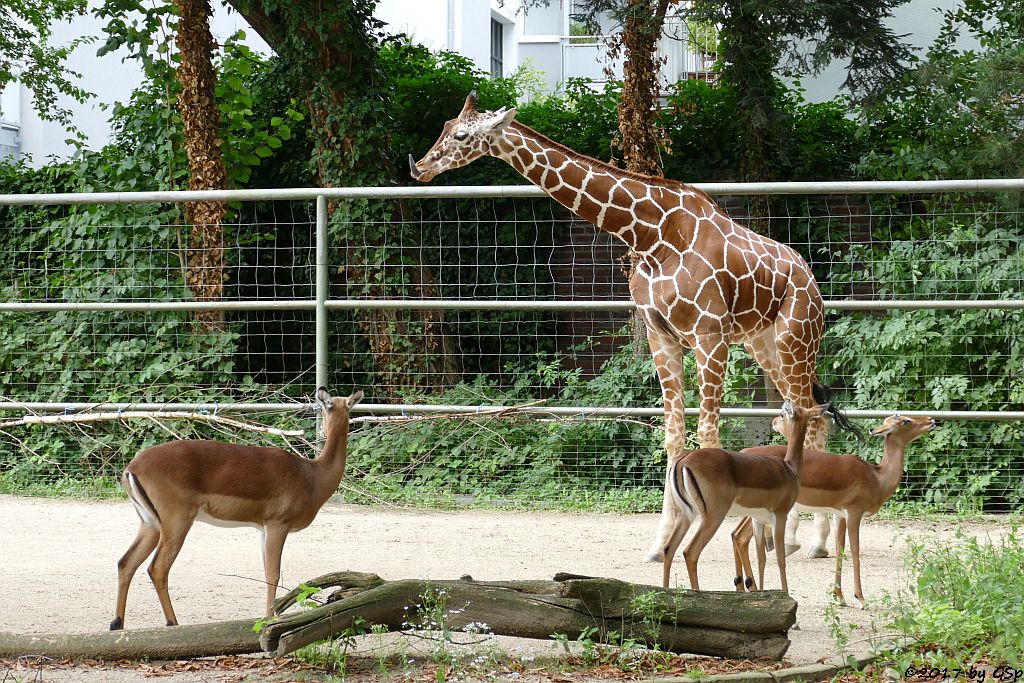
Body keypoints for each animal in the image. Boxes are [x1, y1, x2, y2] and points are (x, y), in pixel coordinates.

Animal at [109, 387, 360, 634]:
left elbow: (267, 571)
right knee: (157, 568)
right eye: (326, 407)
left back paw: (116, 624)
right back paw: (173, 624)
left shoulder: (262, 529)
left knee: (125, 562)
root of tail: (132, 467)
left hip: (150, 524)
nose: (322, 430)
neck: (312, 475)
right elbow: (273, 574)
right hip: (176, 523)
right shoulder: (277, 525)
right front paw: (269, 620)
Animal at [411, 92, 835, 548]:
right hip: (763, 345)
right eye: (445, 125)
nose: (419, 167)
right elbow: (672, 435)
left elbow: (707, 434)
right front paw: (665, 534)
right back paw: (795, 536)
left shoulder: (708, 334)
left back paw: (812, 538)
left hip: (795, 338)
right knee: (806, 415)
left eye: (461, 135)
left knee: (809, 415)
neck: (650, 235)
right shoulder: (661, 335)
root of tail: (811, 279)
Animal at [643, 403, 827, 589]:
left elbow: (761, 559)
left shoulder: (758, 519)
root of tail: (683, 460)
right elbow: (780, 560)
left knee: (669, 548)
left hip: (686, 514)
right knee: (690, 552)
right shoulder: (780, 516)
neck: (790, 469)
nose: (774, 422)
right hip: (713, 516)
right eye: (783, 415)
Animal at [729, 413, 937, 606]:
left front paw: (839, 596)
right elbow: (855, 551)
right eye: (905, 421)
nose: (931, 420)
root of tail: (743, 452)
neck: (877, 476)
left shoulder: (839, 515)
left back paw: (743, 587)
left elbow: (840, 550)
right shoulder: (854, 512)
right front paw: (860, 598)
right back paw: (751, 588)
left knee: (737, 535)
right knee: (741, 536)